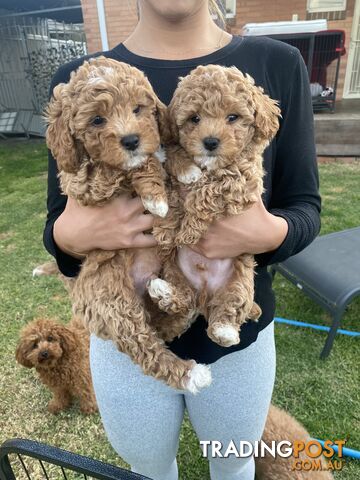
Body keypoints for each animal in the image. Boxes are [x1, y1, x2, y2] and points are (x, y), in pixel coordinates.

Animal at [46, 56, 212, 394]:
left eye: (138, 109)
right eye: (97, 120)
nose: (132, 140)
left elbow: (164, 152)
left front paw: (185, 168)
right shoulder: (88, 180)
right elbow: (134, 165)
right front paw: (156, 197)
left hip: (171, 271)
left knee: (179, 314)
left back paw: (164, 294)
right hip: (114, 303)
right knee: (146, 346)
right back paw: (189, 373)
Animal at [149, 64, 282, 348]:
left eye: (233, 117)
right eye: (194, 118)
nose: (210, 142)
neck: (210, 166)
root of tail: (203, 298)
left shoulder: (242, 181)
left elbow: (206, 191)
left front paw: (188, 231)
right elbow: (175, 169)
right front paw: (167, 231)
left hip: (240, 280)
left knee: (229, 308)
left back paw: (225, 330)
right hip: (174, 270)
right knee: (182, 301)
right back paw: (163, 292)